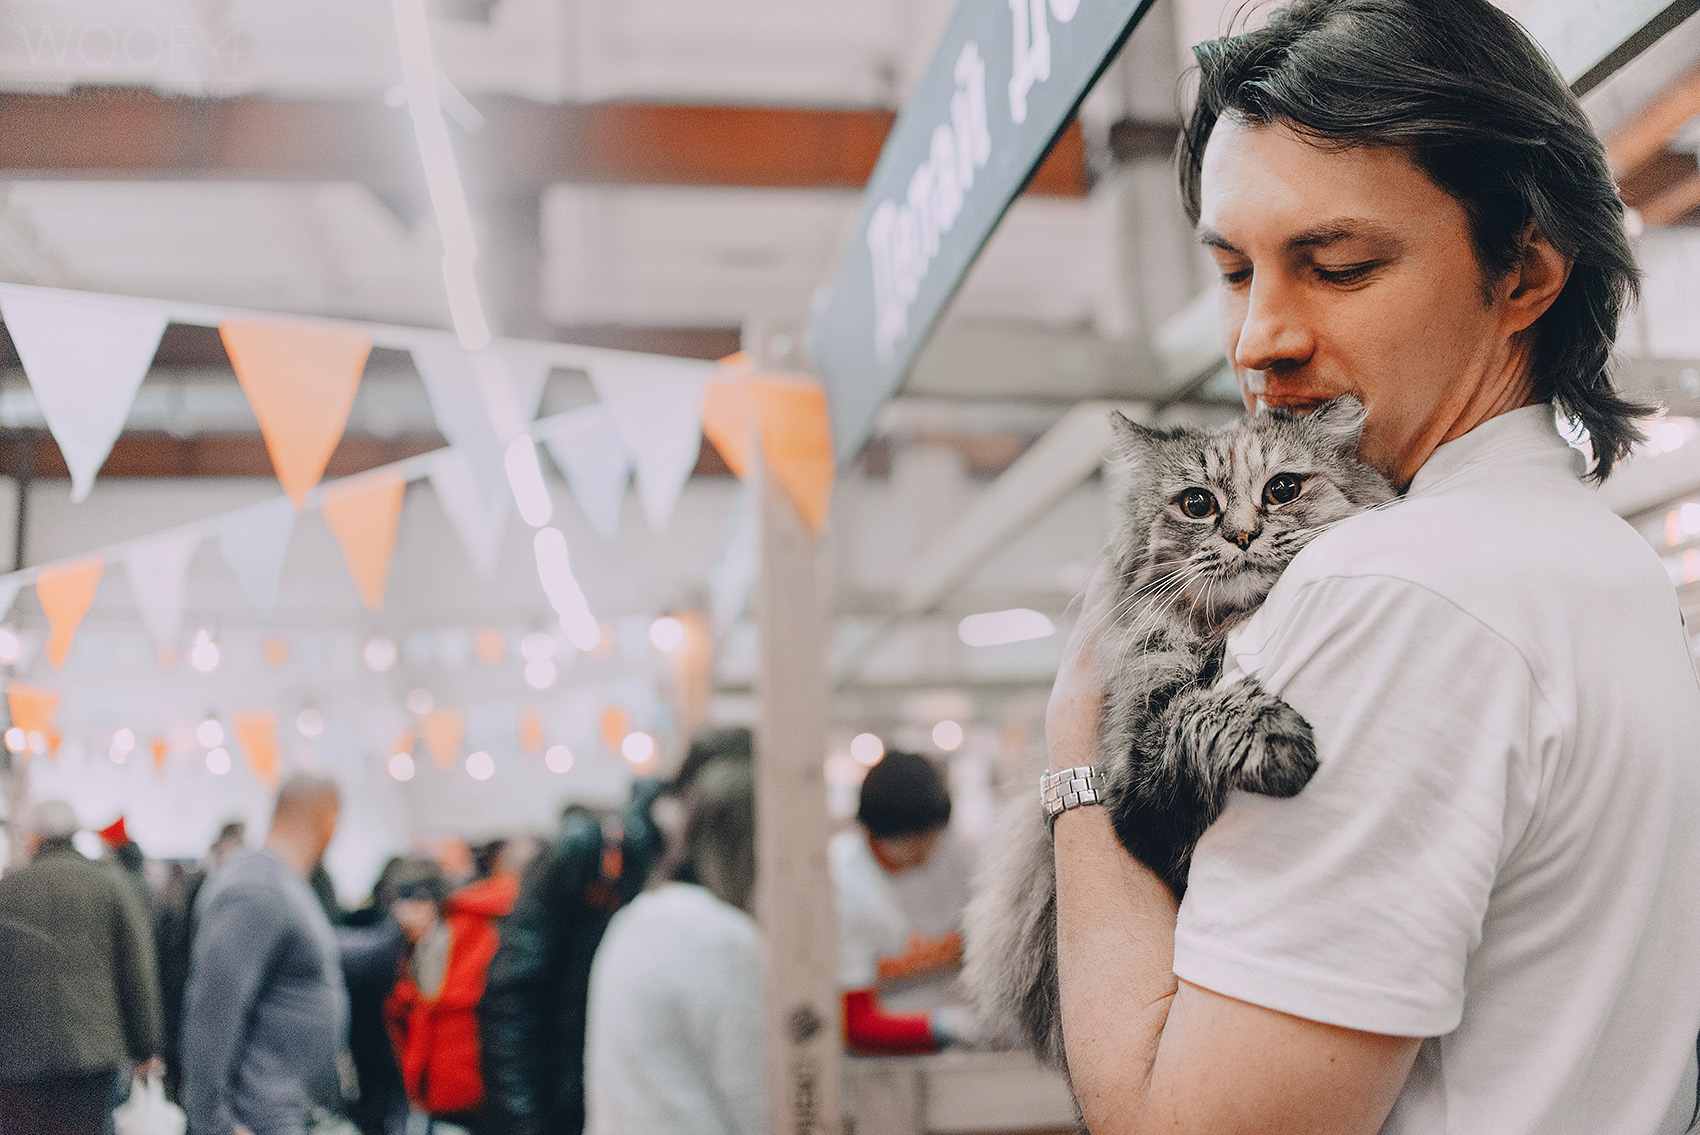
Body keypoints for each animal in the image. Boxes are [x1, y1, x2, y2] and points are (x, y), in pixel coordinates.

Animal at [965, 399, 1387, 1073]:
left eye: (1282, 490)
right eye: (1197, 504)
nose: (1241, 535)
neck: (1221, 631)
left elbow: (1199, 711)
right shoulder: (1137, 777)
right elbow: (1199, 713)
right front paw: (1276, 738)